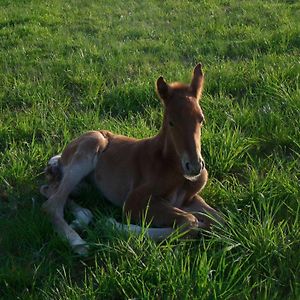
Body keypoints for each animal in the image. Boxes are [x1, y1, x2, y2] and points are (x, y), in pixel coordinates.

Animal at [39, 63, 223, 255]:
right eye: (171, 122)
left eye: (201, 119)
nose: (194, 166)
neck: (172, 167)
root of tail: (60, 157)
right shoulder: (135, 200)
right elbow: (190, 222)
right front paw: (111, 225)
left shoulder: (189, 199)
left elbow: (219, 221)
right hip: (92, 144)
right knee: (51, 205)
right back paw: (78, 242)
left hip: (82, 187)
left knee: (49, 190)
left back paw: (82, 217)